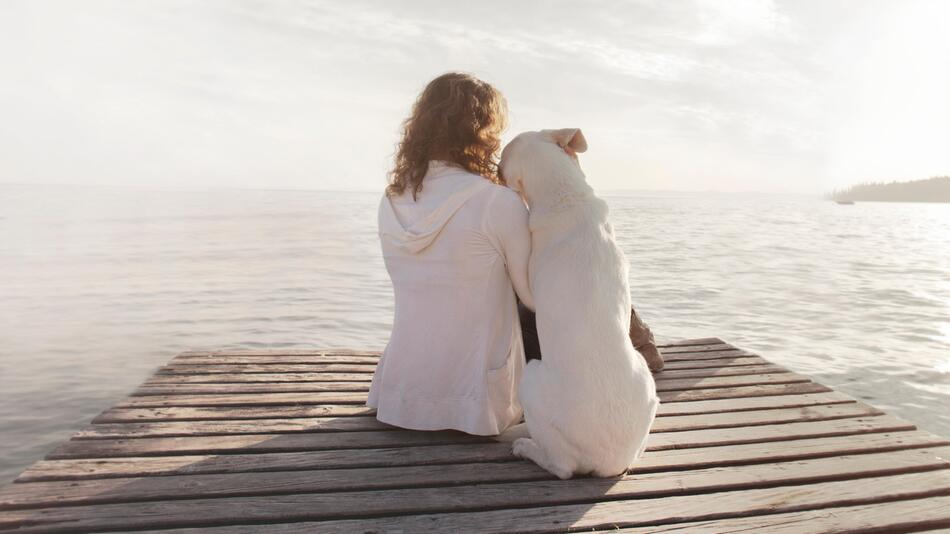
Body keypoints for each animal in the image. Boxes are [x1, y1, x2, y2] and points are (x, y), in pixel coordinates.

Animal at [498, 130, 660, 482]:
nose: (494, 167)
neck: (566, 195)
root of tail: (606, 462)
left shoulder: (530, 291)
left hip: (531, 378)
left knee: (562, 468)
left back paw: (527, 448)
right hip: (647, 382)